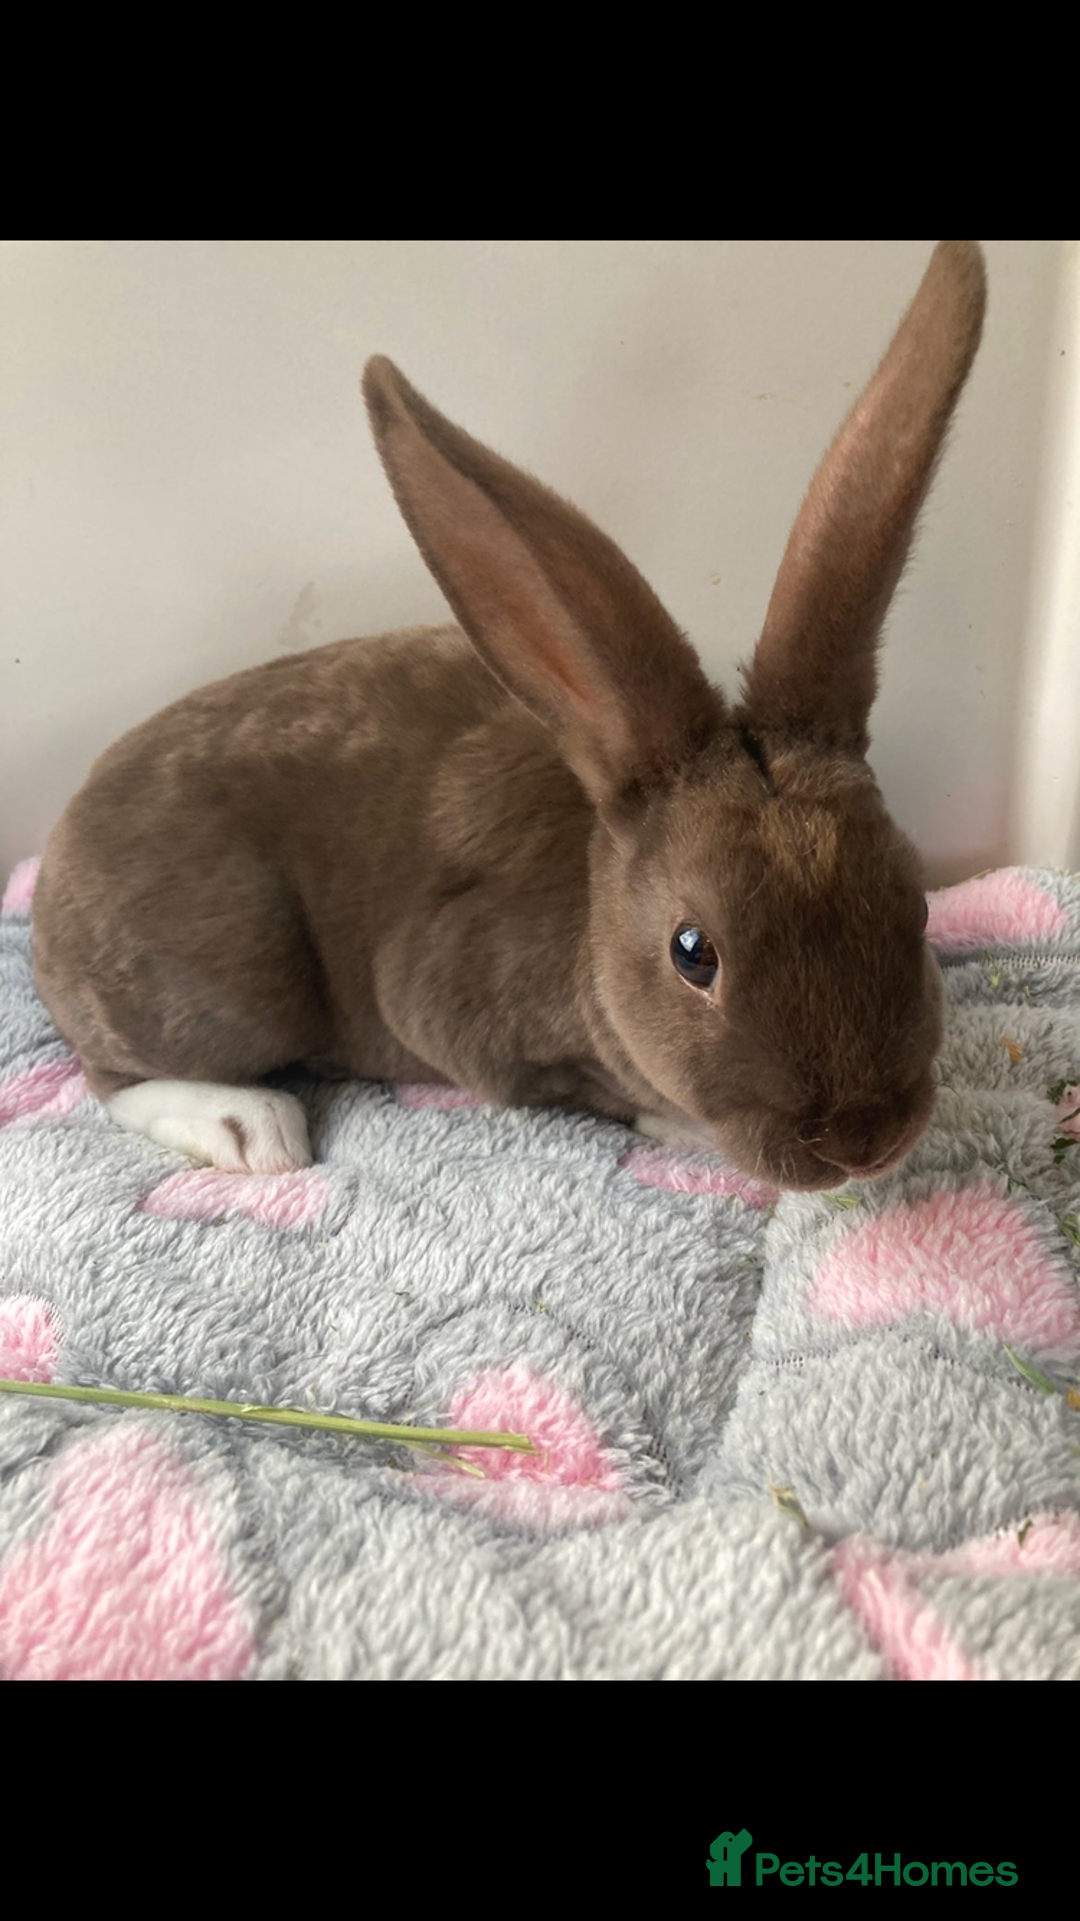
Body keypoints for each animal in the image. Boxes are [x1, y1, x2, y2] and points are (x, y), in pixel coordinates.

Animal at [32, 241, 986, 1189]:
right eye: (693, 952)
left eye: (915, 903)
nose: (863, 1140)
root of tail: (53, 873)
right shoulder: (454, 1010)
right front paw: (682, 1126)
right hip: (230, 979)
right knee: (113, 1073)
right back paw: (251, 1128)